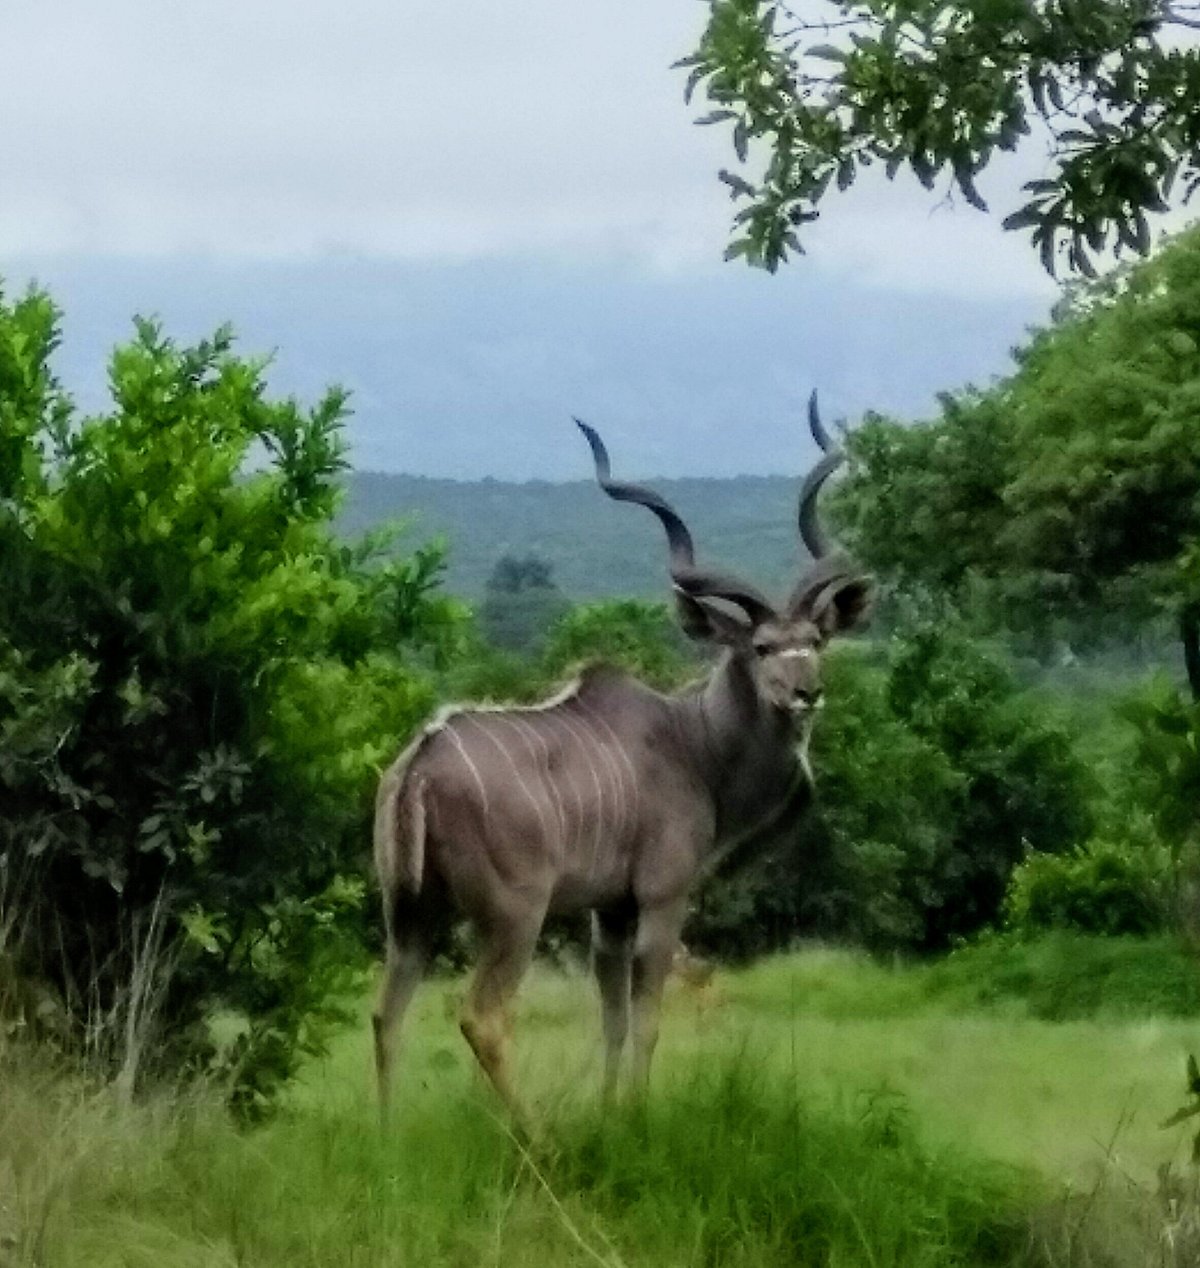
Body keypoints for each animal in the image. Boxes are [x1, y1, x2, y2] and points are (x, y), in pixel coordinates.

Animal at [370, 390, 867, 1115]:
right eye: (761, 647)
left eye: (817, 640)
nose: (807, 692)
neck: (695, 743)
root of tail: (417, 769)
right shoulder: (661, 897)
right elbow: (648, 1017)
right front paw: (635, 1115)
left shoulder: (610, 911)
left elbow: (611, 1016)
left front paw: (607, 1114)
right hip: (515, 913)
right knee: (482, 1016)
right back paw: (535, 1133)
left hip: (409, 913)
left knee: (387, 1015)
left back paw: (385, 1134)